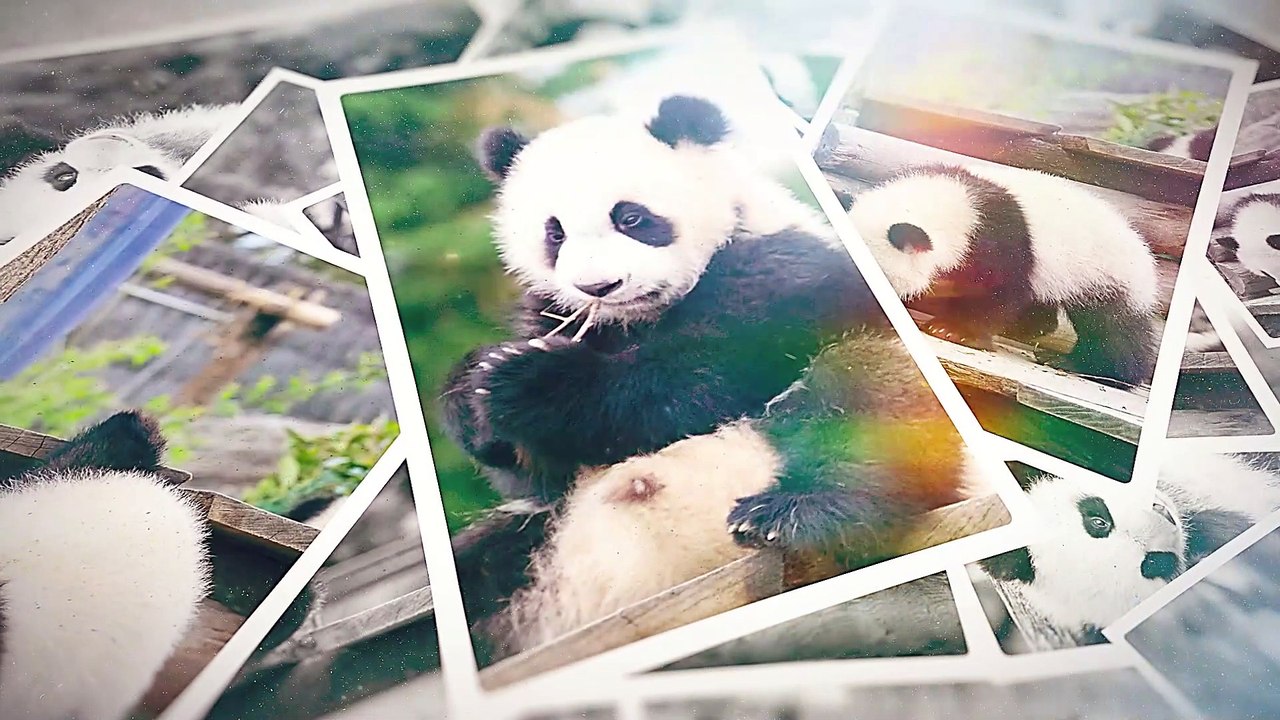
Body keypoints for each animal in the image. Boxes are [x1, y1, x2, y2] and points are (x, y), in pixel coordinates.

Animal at [441, 95, 971, 659]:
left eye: (631, 217)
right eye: (554, 233)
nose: (598, 286)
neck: (636, 320)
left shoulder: (785, 274)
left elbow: (697, 381)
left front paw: (530, 382)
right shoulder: (559, 316)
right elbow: (541, 476)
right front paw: (475, 391)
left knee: (870, 394)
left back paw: (783, 516)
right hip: (536, 544)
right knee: (484, 559)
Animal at [845, 163, 1160, 387]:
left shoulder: (1004, 243)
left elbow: (999, 294)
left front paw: (953, 330)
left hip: (1106, 273)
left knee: (1113, 329)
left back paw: (1086, 367)